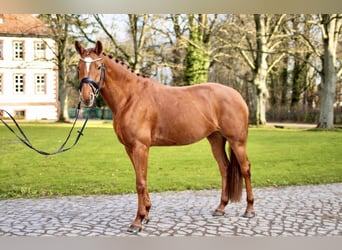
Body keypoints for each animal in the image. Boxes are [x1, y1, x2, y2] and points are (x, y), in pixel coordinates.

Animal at [76, 40, 255, 232]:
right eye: (78, 66)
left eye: (98, 66)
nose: (86, 97)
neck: (130, 98)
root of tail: (237, 95)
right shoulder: (130, 148)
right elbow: (142, 179)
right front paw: (146, 214)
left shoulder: (140, 147)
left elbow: (140, 182)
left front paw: (137, 221)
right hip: (216, 139)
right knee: (225, 168)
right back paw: (221, 208)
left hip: (237, 141)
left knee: (245, 168)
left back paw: (249, 209)